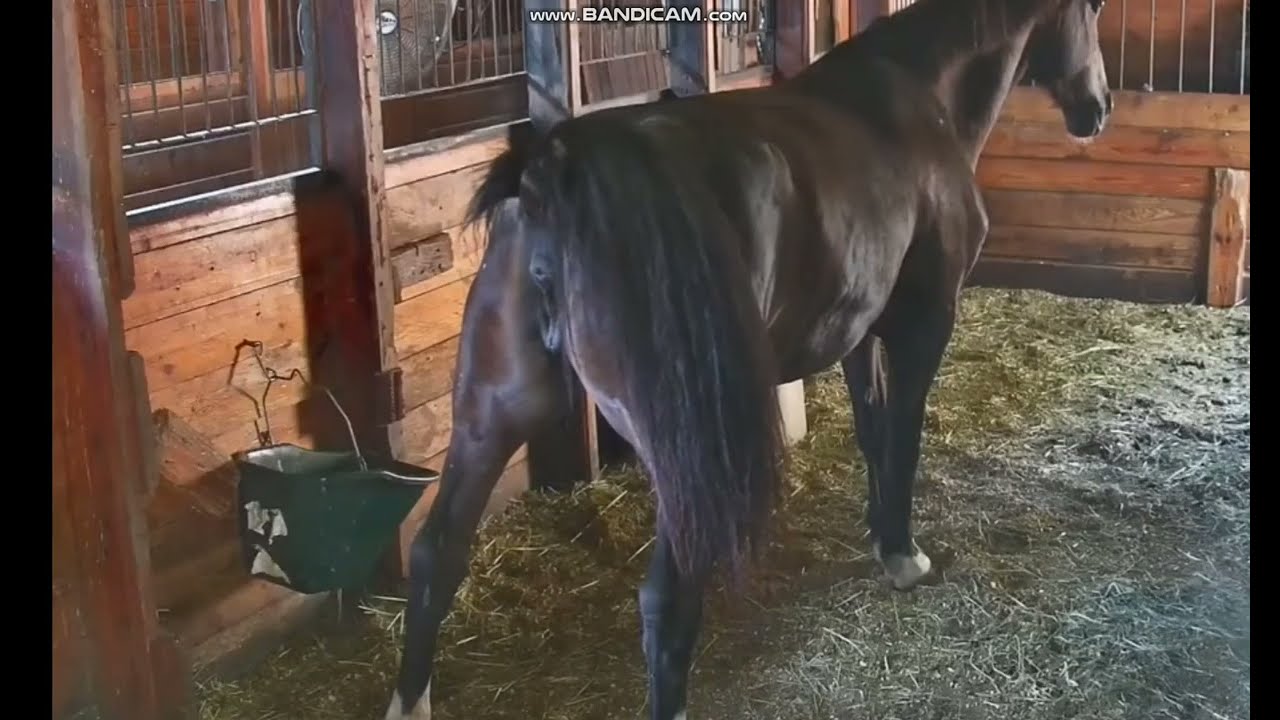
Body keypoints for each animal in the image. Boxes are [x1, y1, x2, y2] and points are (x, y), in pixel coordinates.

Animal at [384, 1, 1111, 718]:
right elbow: (903, 436)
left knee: (436, 557)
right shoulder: (923, 324)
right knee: (666, 599)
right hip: (681, 454)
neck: (917, 104)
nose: (1097, 108)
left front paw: (880, 534)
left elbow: (873, 431)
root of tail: (551, 181)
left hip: (492, 415)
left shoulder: (858, 332)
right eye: (1094, 12)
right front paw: (904, 556)